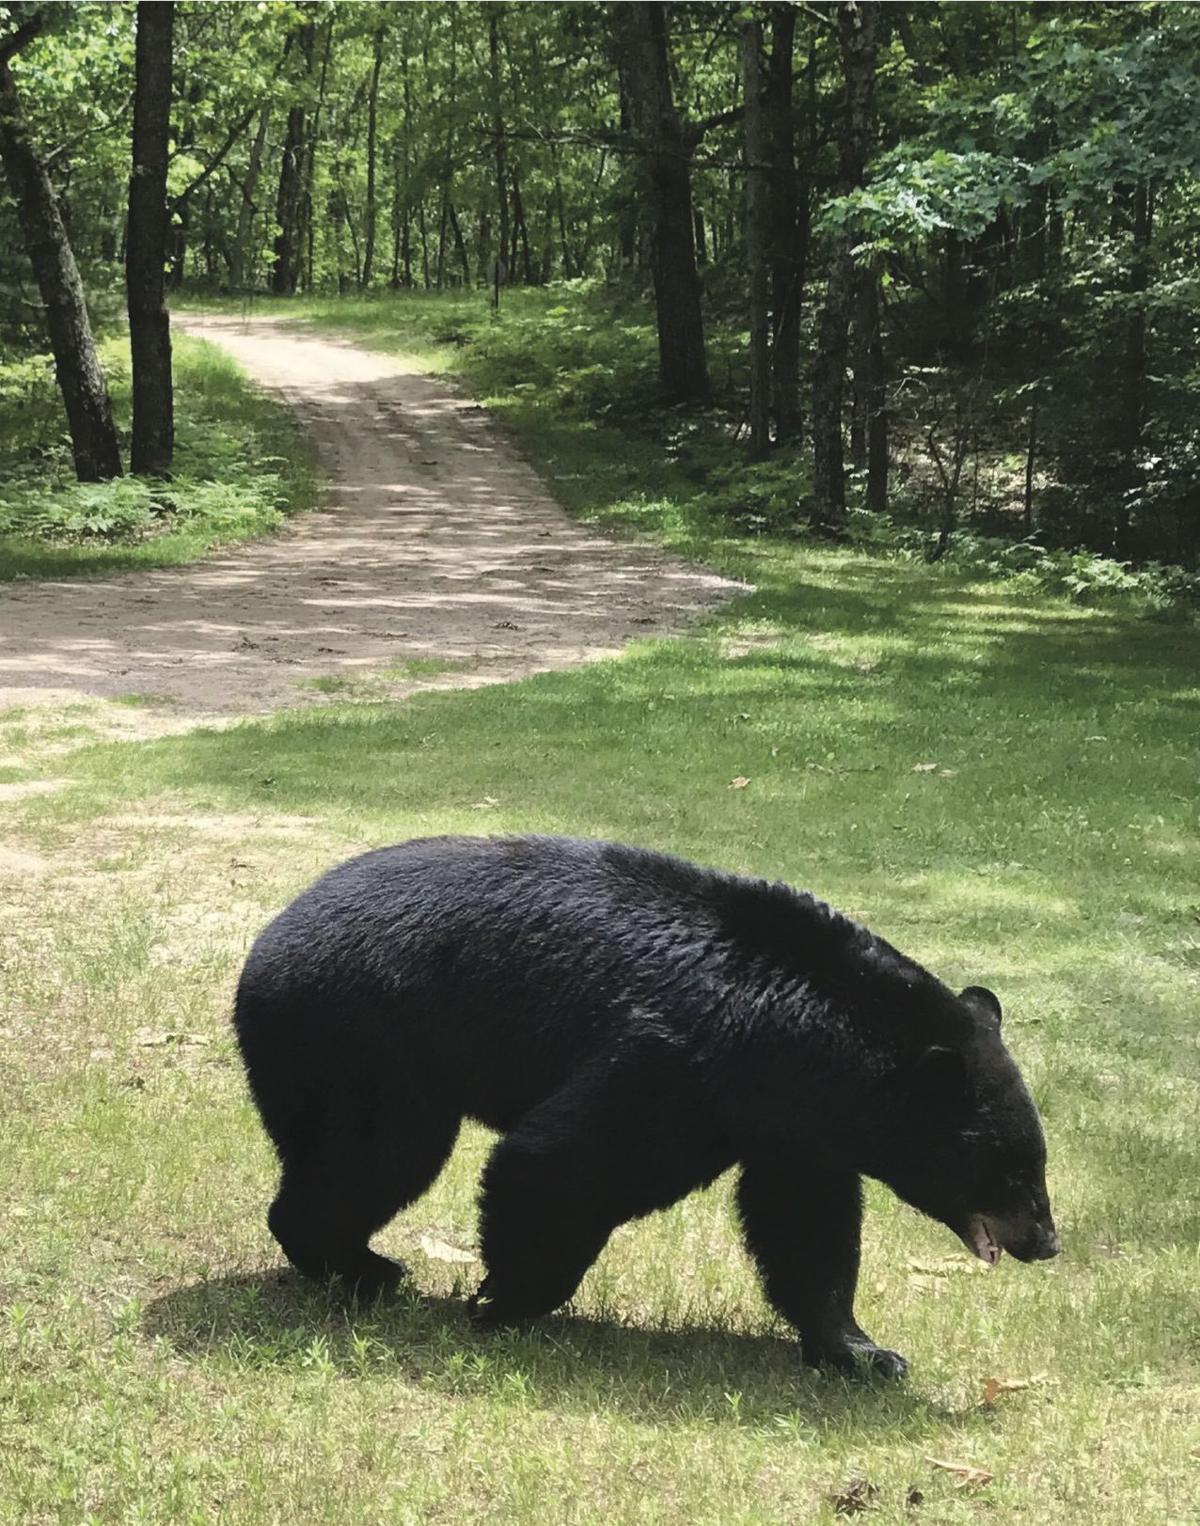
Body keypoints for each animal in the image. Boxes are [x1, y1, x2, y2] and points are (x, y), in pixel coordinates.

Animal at [233, 834, 1059, 1377]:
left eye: (1036, 1164)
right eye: (1011, 1169)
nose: (1047, 1242)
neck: (807, 1034)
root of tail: (261, 948)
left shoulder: (793, 1129)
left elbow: (807, 1227)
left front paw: (863, 1352)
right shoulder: (677, 1061)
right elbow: (560, 1160)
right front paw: (504, 1300)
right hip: (365, 1041)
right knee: (376, 1155)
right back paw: (359, 1267)